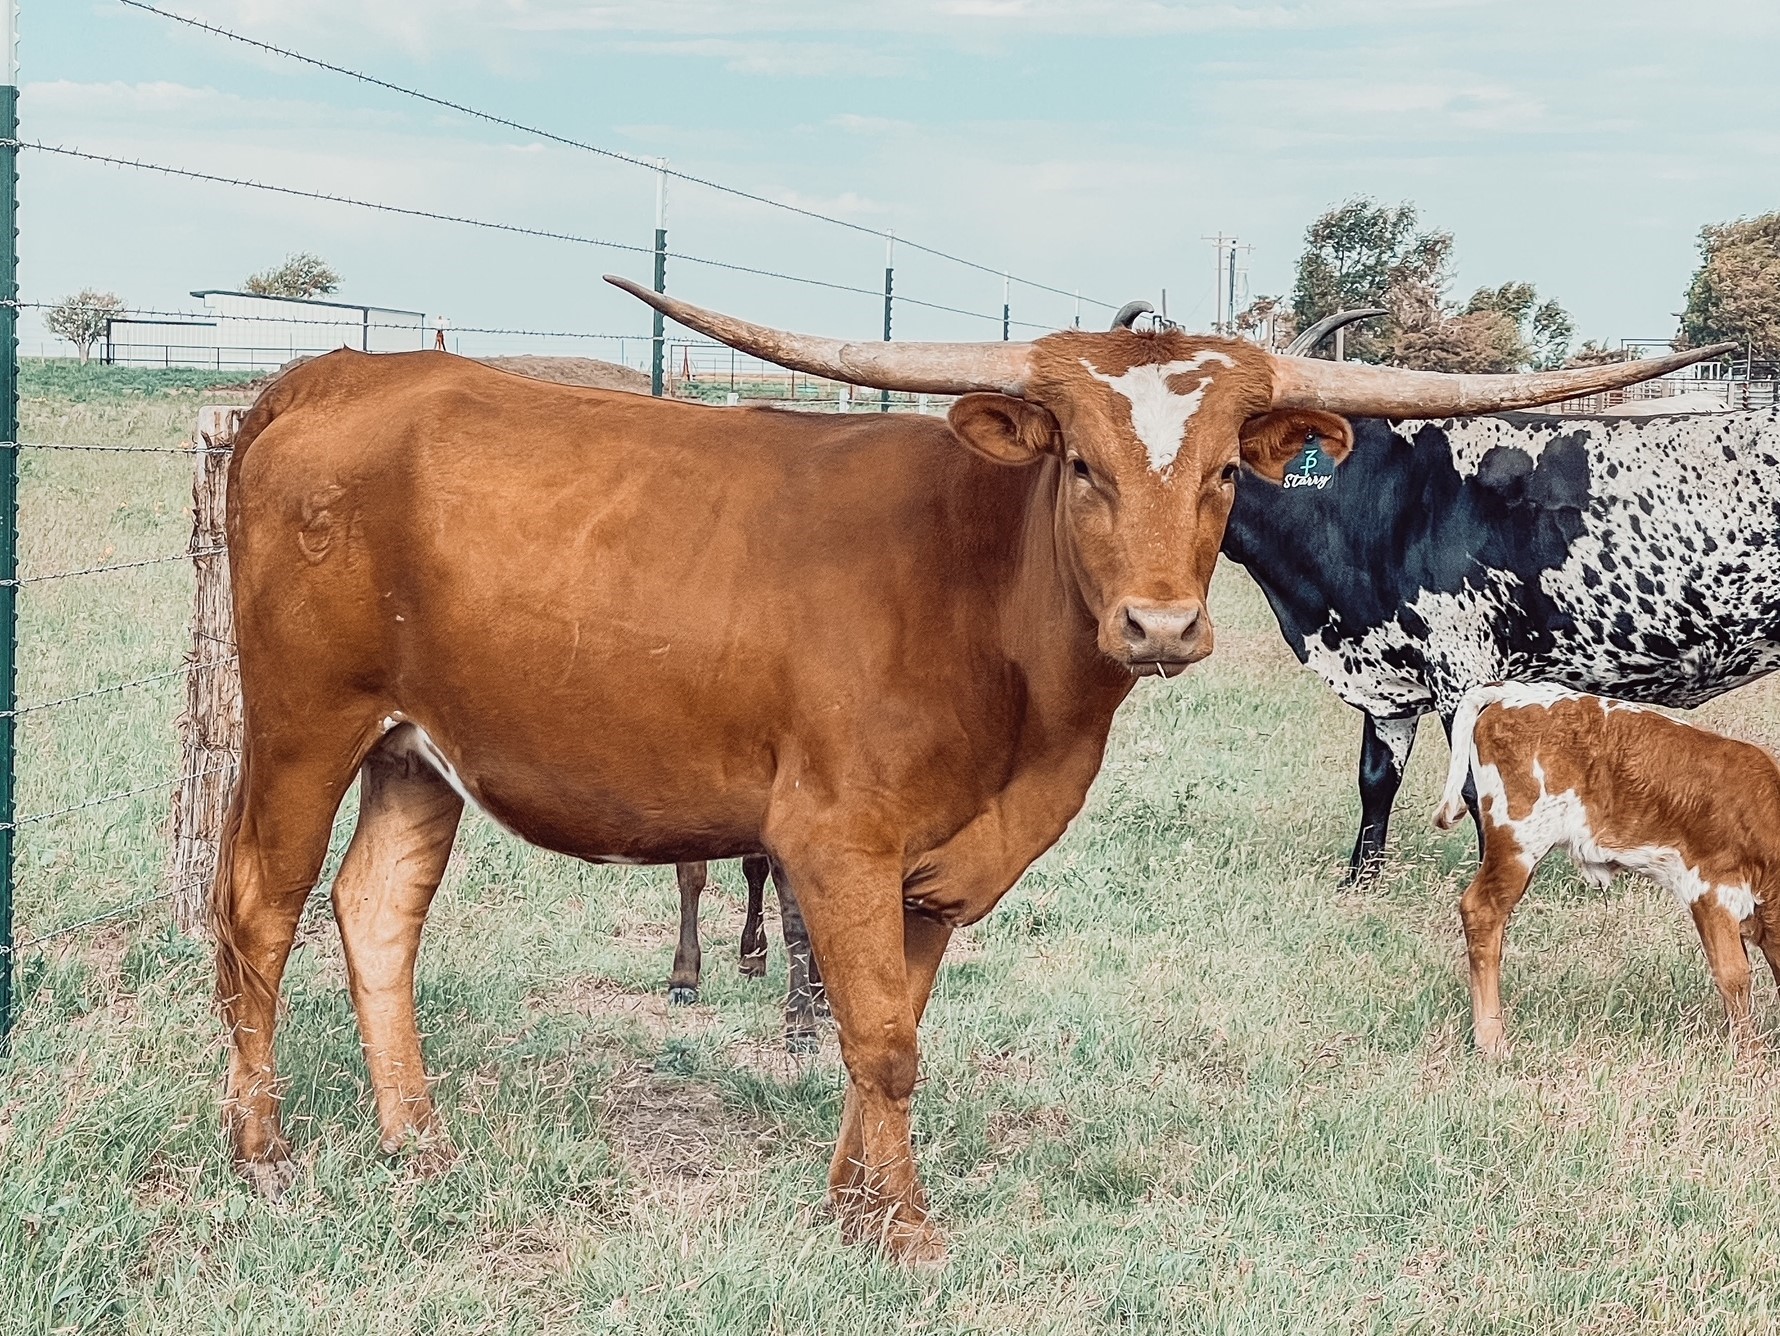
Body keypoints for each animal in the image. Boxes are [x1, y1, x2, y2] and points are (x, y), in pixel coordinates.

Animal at [213, 272, 1707, 1262]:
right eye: (1083, 465)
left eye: (1227, 471)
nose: (1160, 627)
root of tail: (341, 376)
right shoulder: (832, 841)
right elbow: (878, 1038)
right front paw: (911, 1231)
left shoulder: (937, 866)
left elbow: (898, 1027)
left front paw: (852, 1205)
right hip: (303, 724)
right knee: (260, 914)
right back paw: (264, 1151)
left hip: (418, 753)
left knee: (377, 911)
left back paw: (415, 1137)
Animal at [1434, 682, 1780, 1061]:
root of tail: (1515, 691)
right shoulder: (1710, 889)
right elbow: (1735, 974)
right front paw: (1748, 1053)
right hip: (1517, 842)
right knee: (1482, 912)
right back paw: (1492, 1040)